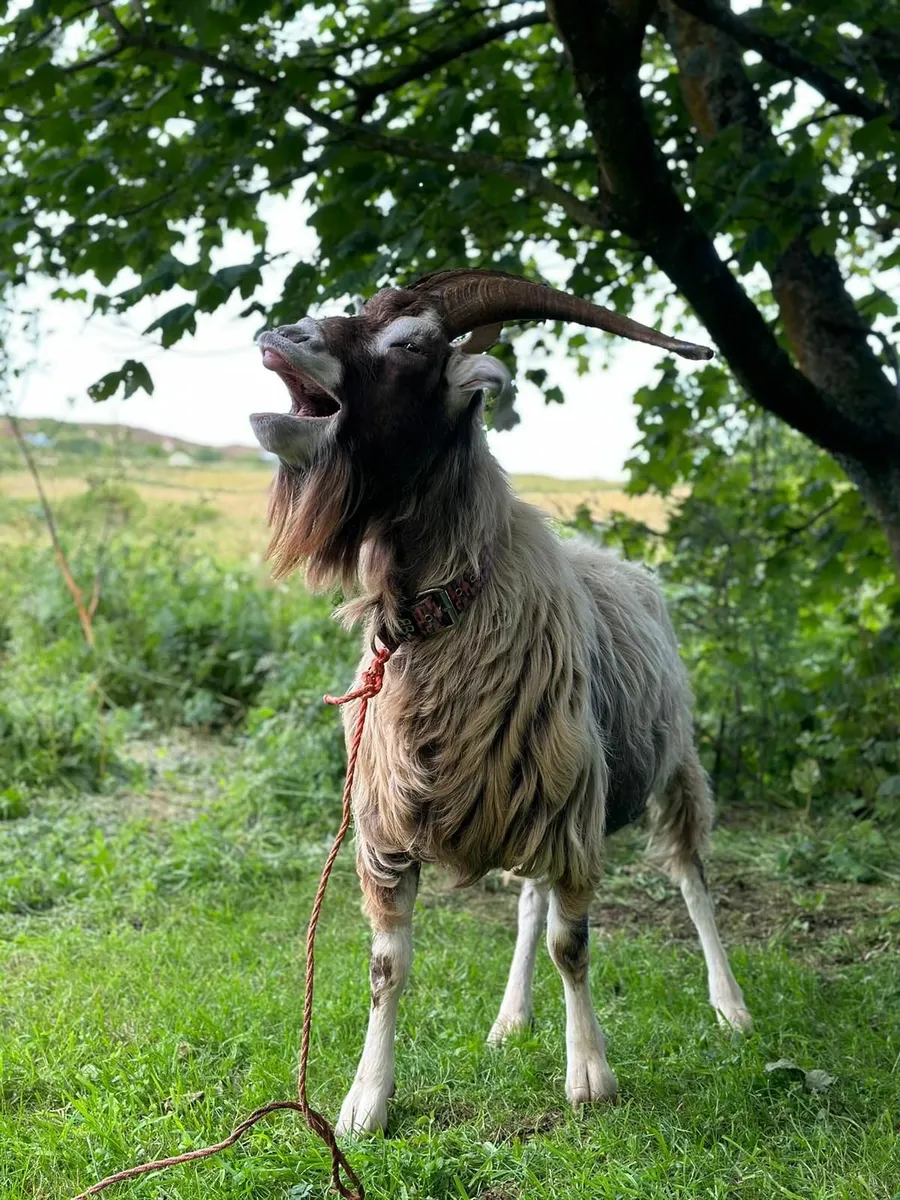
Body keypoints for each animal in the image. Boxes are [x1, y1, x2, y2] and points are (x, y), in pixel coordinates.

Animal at [250, 269, 752, 1136]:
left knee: (690, 877)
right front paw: (364, 1102)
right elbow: (387, 968)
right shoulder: (391, 832)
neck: (443, 610)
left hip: (671, 765)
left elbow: (573, 948)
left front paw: (590, 1076)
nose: (280, 333)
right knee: (527, 903)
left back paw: (730, 1006)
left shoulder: (575, 816)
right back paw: (511, 1017)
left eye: (412, 344)